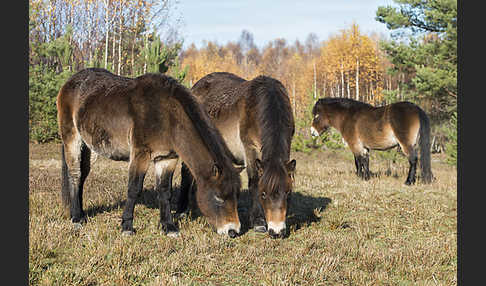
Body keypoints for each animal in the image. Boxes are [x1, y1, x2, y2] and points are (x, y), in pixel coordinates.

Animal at [57, 68, 245, 238]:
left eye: (236, 196)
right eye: (218, 197)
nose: (233, 231)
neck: (166, 115)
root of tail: (69, 82)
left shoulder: (167, 158)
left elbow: (165, 191)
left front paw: (168, 227)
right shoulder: (141, 154)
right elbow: (134, 188)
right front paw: (127, 227)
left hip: (90, 147)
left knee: (83, 175)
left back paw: (80, 214)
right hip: (72, 139)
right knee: (75, 174)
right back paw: (76, 219)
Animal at [178, 72, 296, 239]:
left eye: (288, 193)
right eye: (263, 194)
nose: (277, 231)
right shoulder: (250, 148)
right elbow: (254, 181)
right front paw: (259, 222)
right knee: (186, 173)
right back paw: (182, 210)